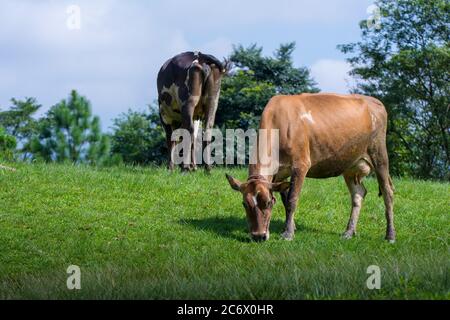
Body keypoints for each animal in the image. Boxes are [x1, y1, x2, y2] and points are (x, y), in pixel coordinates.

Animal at [227, 94, 396, 244]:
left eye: (268, 203)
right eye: (244, 204)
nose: (258, 236)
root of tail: (375, 101)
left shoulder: (301, 164)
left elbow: (292, 199)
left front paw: (288, 233)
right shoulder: (280, 174)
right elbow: (285, 199)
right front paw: (290, 227)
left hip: (379, 154)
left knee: (387, 193)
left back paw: (390, 236)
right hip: (350, 164)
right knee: (358, 194)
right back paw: (349, 232)